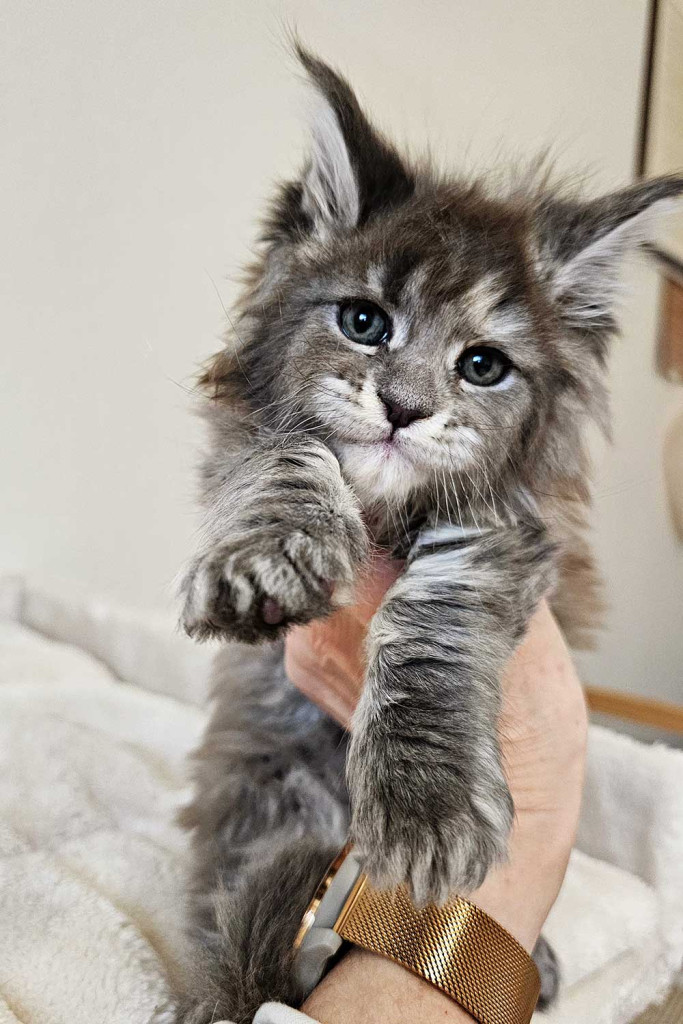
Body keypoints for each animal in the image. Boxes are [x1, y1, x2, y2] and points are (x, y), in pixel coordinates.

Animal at [173, 47, 682, 1024]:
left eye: (481, 365)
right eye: (363, 322)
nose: (404, 408)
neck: (381, 512)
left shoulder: (506, 528)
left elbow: (434, 626)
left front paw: (423, 808)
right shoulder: (245, 436)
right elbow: (289, 458)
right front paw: (268, 560)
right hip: (269, 781)